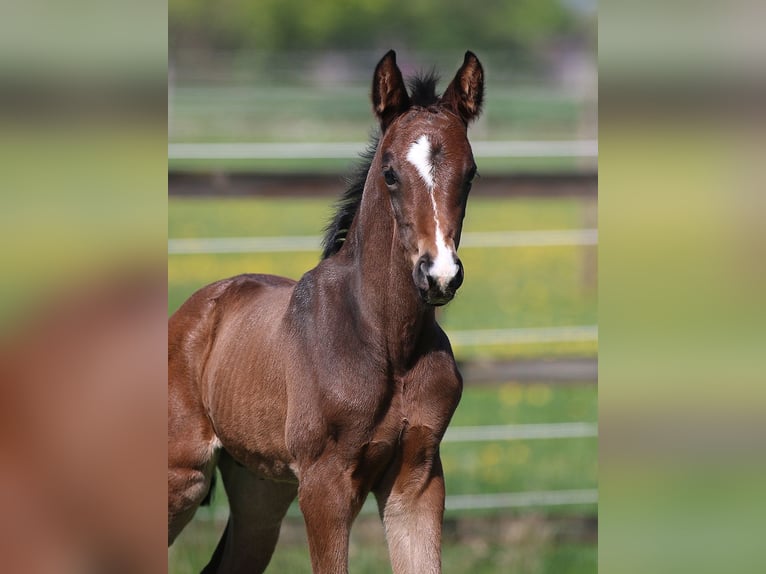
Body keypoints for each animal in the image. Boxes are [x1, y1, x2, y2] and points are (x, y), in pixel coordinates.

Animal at [168, 50, 484, 574]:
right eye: (390, 172)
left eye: (471, 173)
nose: (439, 274)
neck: (389, 343)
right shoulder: (324, 485)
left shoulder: (417, 481)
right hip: (182, 478)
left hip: (260, 488)